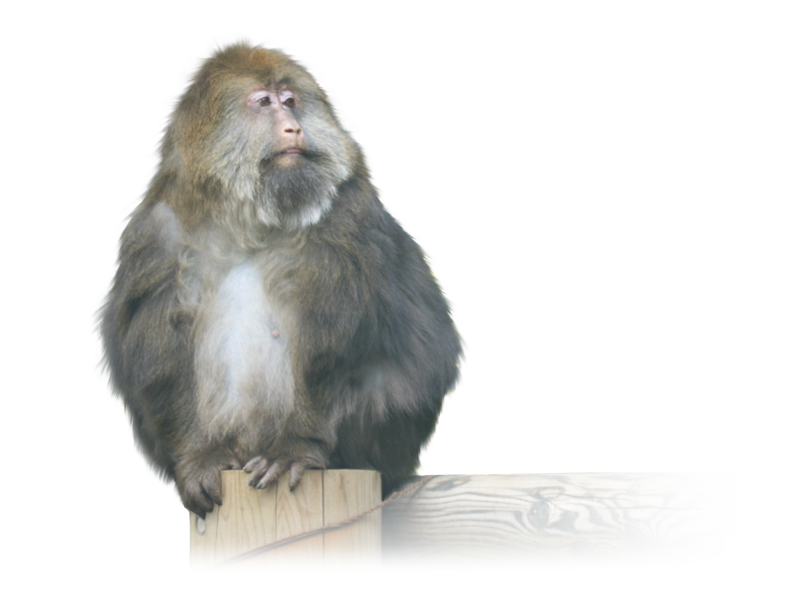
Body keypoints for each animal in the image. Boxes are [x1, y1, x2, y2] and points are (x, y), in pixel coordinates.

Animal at [101, 42, 461, 518]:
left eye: (290, 101)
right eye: (263, 103)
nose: (293, 126)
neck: (248, 219)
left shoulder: (347, 217)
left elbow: (340, 346)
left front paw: (297, 447)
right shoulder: (154, 232)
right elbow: (161, 354)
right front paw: (199, 458)